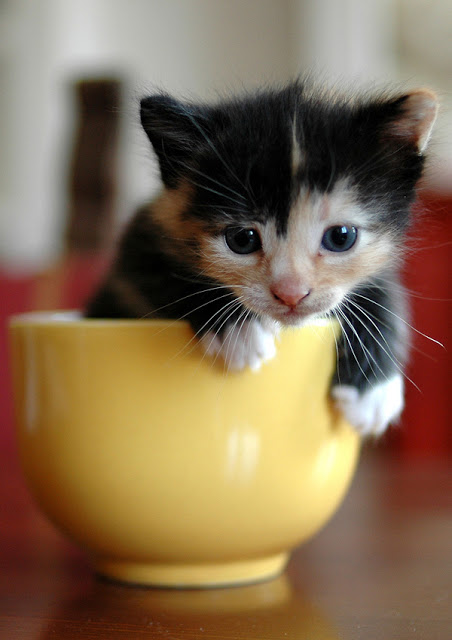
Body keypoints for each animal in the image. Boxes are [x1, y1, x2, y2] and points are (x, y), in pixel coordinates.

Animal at [85, 80, 438, 438]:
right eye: (242, 240)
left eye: (341, 237)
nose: (291, 293)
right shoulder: (139, 243)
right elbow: (163, 277)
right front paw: (236, 328)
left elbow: (385, 293)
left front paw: (373, 388)